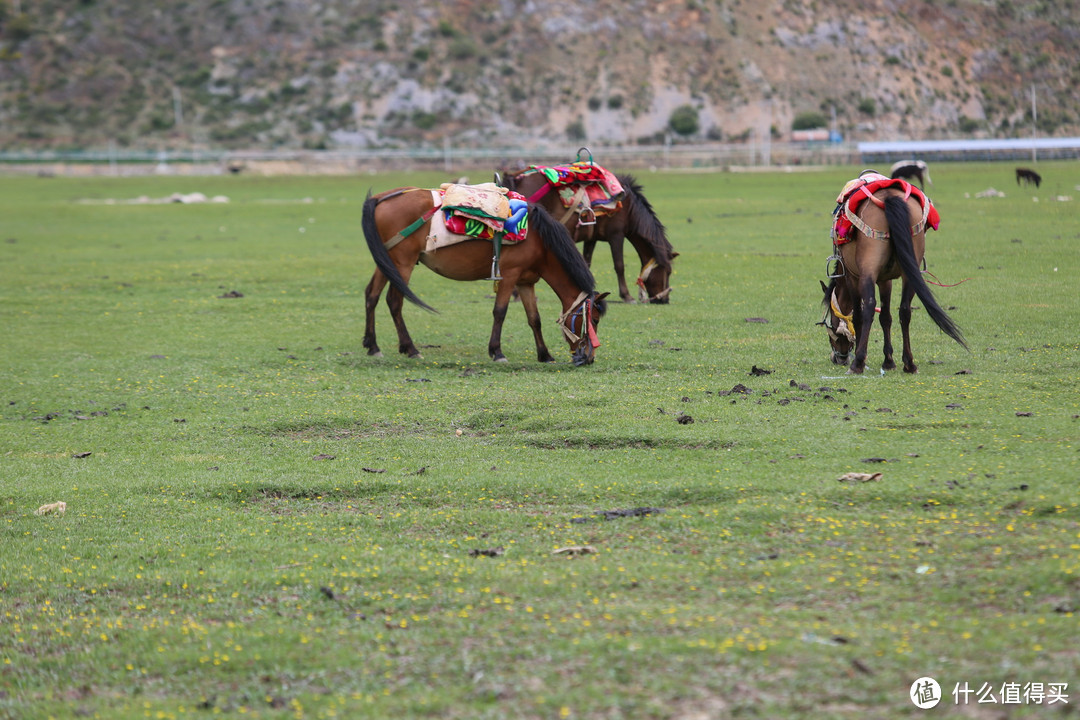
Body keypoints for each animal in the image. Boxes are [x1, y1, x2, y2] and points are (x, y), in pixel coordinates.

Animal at [362, 187, 609, 367]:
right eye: (594, 320)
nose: (588, 358)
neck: (539, 239)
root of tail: (381, 197)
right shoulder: (509, 276)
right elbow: (500, 312)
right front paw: (497, 352)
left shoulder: (526, 281)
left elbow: (534, 318)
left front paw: (545, 355)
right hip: (403, 264)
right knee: (394, 301)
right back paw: (411, 349)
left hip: (386, 261)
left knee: (371, 295)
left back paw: (373, 347)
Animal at [498, 167, 673, 302]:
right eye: (668, 271)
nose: (664, 299)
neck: (629, 208)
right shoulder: (616, 235)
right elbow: (619, 265)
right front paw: (627, 296)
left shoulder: (591, 239)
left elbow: (587, 262)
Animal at [820, 180, 967, 375]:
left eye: (830, 323)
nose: (839, 358)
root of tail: (889, 197)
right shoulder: (885, 280)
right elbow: (886, 317)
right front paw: (889, 361)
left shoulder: (852, 276)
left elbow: (859, 316)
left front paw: (863, 356)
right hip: (909, 272)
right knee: (905, 310)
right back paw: (909, 364)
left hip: (868, 270)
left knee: (869, 307)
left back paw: (857, 364)